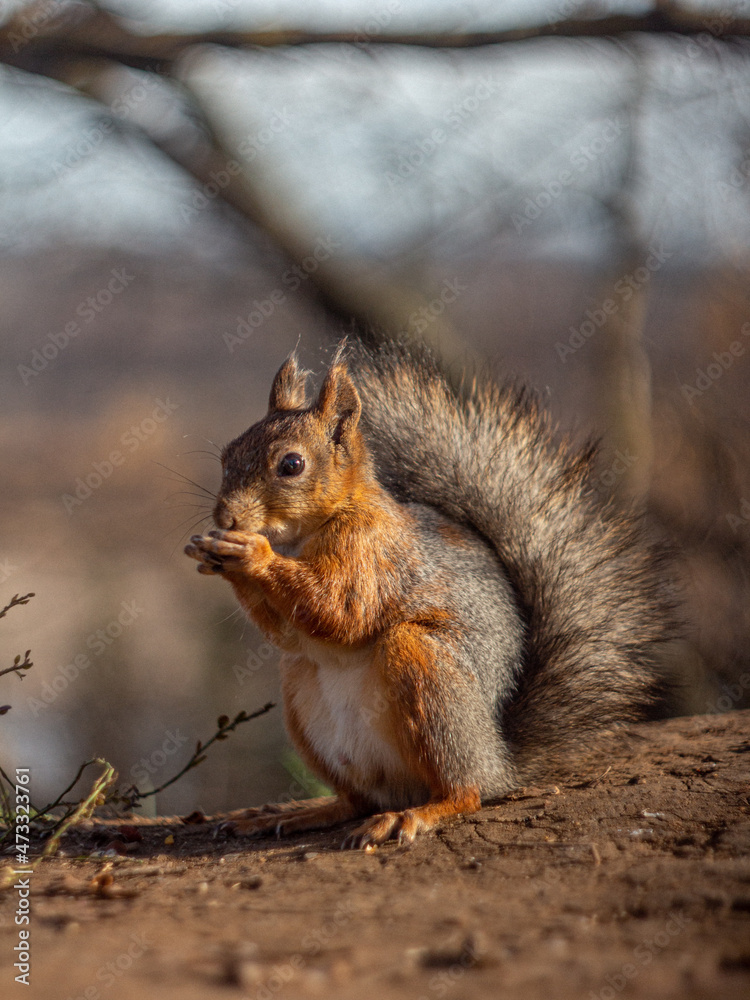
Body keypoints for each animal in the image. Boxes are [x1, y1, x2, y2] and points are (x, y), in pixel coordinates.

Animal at [185, 338, 676, 848]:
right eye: (226, 455)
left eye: (292, 465)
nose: (226, 517)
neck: (308, 531)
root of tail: (500, 763)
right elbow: (287, 633)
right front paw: (213, 554)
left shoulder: (371, 554)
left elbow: (341, 611)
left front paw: (250, 553)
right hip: (303, 692)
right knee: (355, 800)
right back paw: (299, 812)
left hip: (427, 669)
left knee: (464, 792)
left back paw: (416, 814)